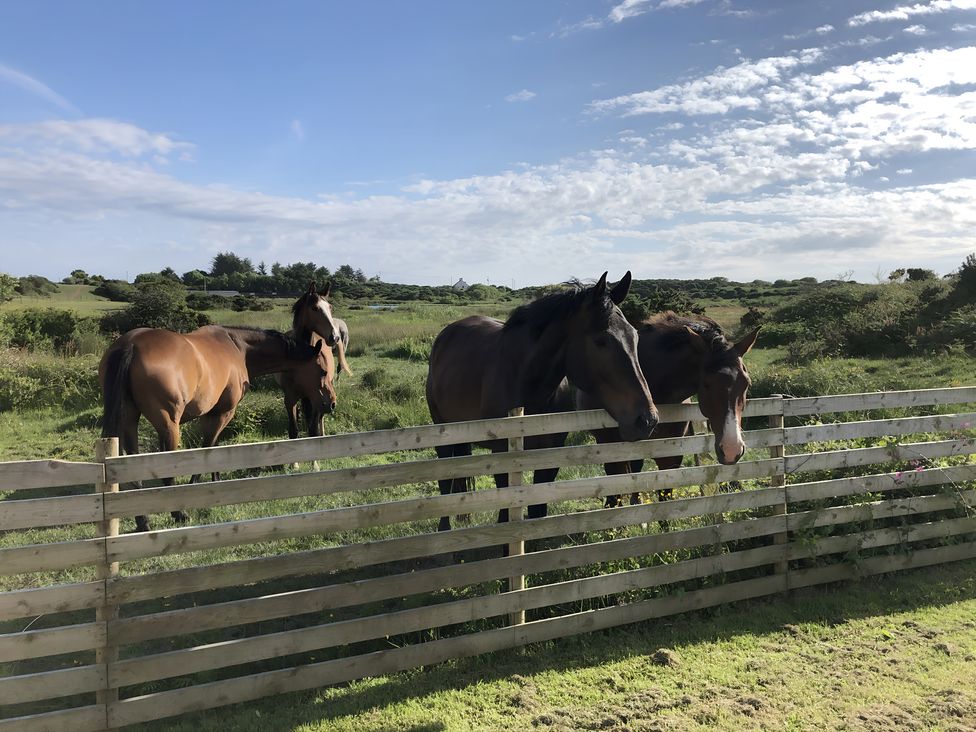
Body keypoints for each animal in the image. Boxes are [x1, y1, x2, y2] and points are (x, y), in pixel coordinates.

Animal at [99, 325, 333, 532]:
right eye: (322, 371)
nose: (331, 403)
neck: (238, 347)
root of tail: (131, 344)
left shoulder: (209, 415)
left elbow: (213, 448)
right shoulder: (223, 413)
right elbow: (208, 447)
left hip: (130, 421)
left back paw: (143, 521)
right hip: (168, 426)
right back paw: (178, 513)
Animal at [426, 272, 659, 531]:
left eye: (634, 336)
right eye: (601, 341)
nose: (647, 419)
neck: (526, 381)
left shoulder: (549, 457)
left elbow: (538, 512)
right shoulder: (502, 457)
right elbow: (505, 516)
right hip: (442, 432)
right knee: (445, 483)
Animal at [577, 312, 759, 507]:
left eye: (746, 384)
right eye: (706, 384)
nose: (732, 449)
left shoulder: (670, 456)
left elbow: (665, 498)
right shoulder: (610, 451)